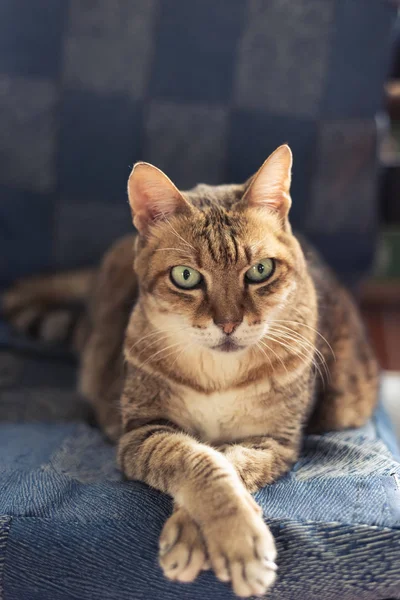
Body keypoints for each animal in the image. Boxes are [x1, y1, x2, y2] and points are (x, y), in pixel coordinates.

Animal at [3, 144, 378, 596]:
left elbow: (231, 461)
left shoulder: (274, 439)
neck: (220, 373)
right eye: (186, 276)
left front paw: (202, 533)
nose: (229, 323)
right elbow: (196, 459)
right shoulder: (143, 431)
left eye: (261, 270)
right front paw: (232, 536)